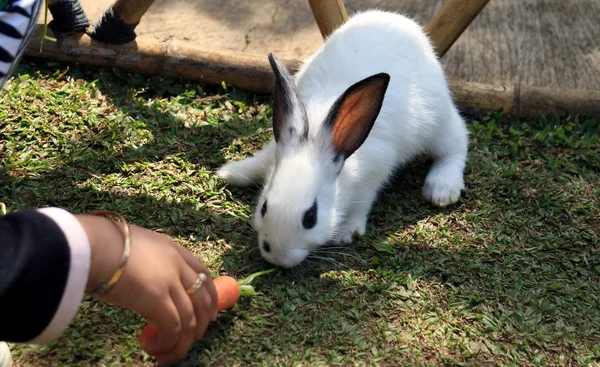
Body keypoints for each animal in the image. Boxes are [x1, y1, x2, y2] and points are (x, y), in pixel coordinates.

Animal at [218, 8, 472, 268]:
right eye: (264, 207)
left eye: (310, 218)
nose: (277, 257)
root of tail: (401, 21)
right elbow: (260, 161)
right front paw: (231, 172)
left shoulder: (374, 174)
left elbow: (363, 202)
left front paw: (346, 231)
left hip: (438, 124)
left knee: (456, 144)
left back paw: (442, 189)